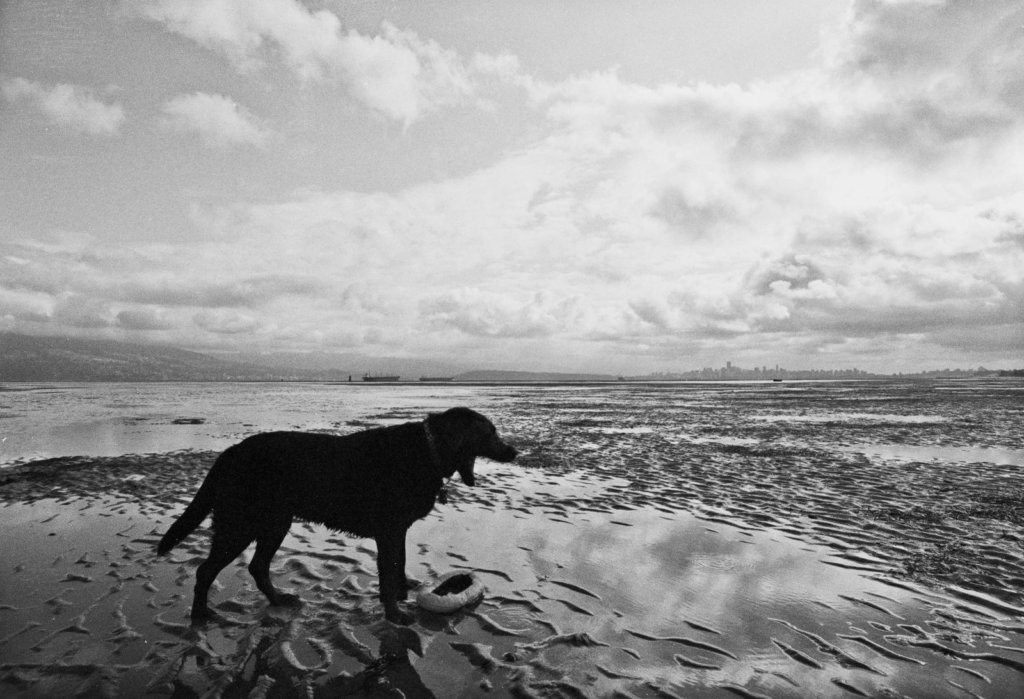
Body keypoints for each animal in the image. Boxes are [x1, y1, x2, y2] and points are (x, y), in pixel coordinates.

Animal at [154, 407, 516, 626]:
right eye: (489, 433)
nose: (514, 452)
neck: (428, 450)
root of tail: (230, 453)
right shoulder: (389, 531)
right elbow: (388, 571)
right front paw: (394, 612)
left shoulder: (397, 531)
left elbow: (398, 564)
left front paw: (401, 594)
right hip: (240, 525)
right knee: (206, 570)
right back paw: (200, 615)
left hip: (275, 523)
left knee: (257, 567)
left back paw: (277, 599)